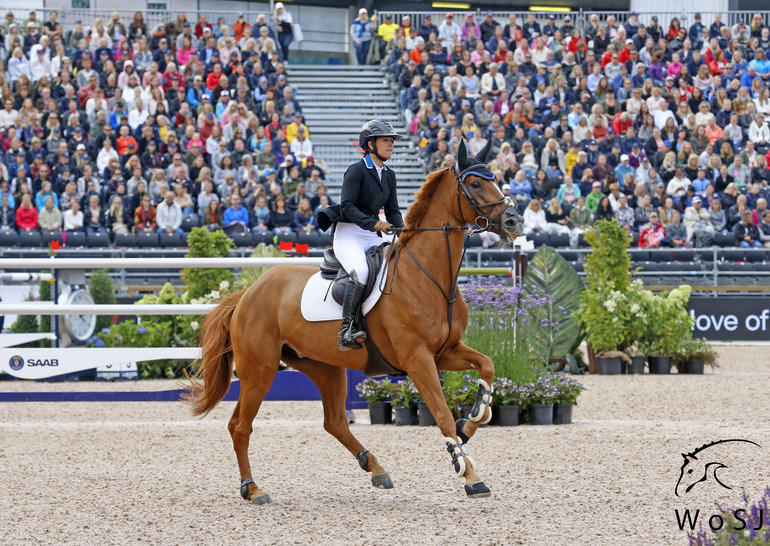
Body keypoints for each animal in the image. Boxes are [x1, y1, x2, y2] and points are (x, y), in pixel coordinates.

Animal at [186, 139, 520, 502]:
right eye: (474, 184)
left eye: (494, 178)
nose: (514, 221)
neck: (428, 276)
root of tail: (247, 293)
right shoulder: (417, 359)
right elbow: (442, 414)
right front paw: (469, 473)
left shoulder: (445, 351)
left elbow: (487, 367)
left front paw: (472, 421)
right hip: (259, 370)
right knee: (240, 425)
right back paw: (253, 489)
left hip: (324, 367)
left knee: (334, 421)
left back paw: (376, 468)